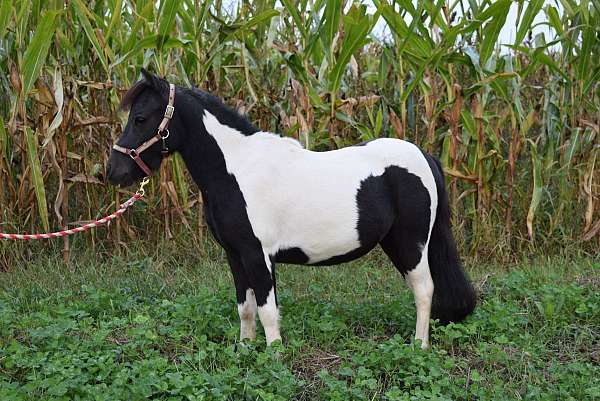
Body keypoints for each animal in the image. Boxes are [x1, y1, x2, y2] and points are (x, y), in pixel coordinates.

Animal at [106, 69, 474, 346]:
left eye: (141, 118)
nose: (113, 172)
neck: (236, 169)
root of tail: (423, 156)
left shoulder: (258, 255)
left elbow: (268, 310)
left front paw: (274, 356)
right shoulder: (235, 254)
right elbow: (245, 308)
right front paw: (245, 349)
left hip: (411, 243)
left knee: (424, 290)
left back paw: (419, 346)